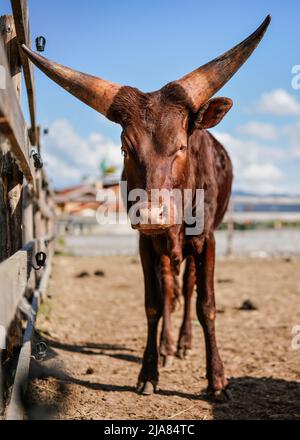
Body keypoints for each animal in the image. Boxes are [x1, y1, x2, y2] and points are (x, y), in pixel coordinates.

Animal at [22, 15, 270, 402]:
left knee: (188, 286)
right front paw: (149, 372)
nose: (153, 214)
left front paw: (217, 381)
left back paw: (182, 343)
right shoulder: (144, 242)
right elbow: (153, 303)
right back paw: (168, 346)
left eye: (181, 145)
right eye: (125, 148)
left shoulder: (207, 240)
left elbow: (206, 305)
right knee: (169, 287)